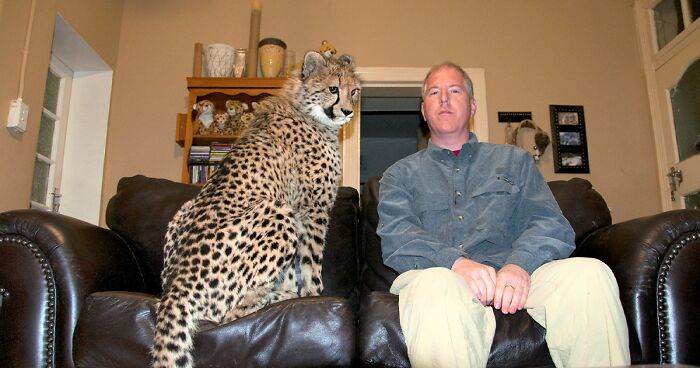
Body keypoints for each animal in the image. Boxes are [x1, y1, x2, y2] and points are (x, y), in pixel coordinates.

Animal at [152, 51, 360, 368]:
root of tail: (177, 284)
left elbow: (293, 268)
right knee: (226, 315)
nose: (348, 111)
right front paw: (311, 296)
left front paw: (297, 292)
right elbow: (310, 263)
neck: (305, 107)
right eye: (334, 89)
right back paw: (279, 298)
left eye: (354, 91)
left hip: (184, 211)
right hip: (277, 213)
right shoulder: (311, 210)